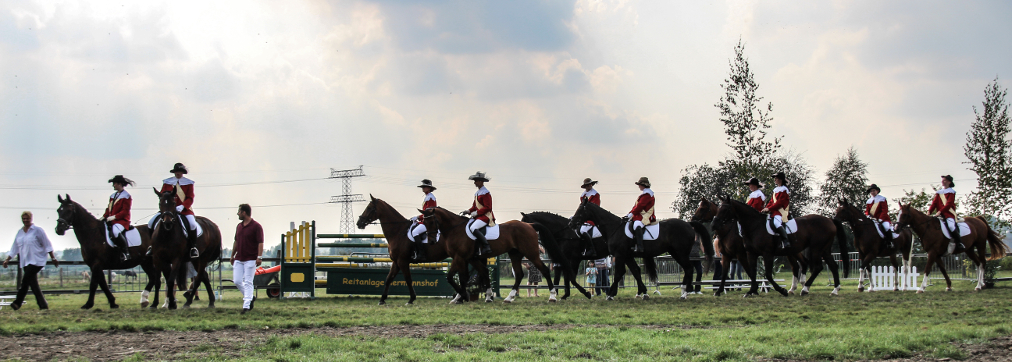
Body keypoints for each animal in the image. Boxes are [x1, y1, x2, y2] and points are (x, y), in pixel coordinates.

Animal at [420, 206, 586, 303]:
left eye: (432, 222)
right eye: (424, 222)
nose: (431, 240)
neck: (456, 229)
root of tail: (529, 225)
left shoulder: (460, 257)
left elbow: (454, 277)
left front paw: (463, 296)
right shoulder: (468, 258)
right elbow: (473, 275)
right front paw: (479, 296)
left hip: (531, 254)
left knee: (544, 270)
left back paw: (552, 296)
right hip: (515, 255)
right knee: (519, 274)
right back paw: (509, 297)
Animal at [566, 199, 716, 299]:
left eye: (580, 210)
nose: (571, 223)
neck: (614, 228)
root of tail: (688, 224)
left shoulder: (620, 255)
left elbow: (619, 273)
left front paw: (610, 294)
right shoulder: (627, 256)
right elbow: (636, 272)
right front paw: (643, 292)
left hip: (680, 253)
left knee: (689, 269)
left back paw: (685, 292)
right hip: (676, 253)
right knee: (688, 269)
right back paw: (685, 291)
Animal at [712, 198, 846, 297]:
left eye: (725, 209)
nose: (714, 224)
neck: (754, 226)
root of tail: (829, 220)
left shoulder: (765, 254)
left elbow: (767, 274)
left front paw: (781, 290)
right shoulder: (748, 254)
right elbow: (750, 272)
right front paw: (751, 291)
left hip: (816, 249)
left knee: (817, 267)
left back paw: (805, 289)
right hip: (821, 249)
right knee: (831, 266)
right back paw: (834, 290)